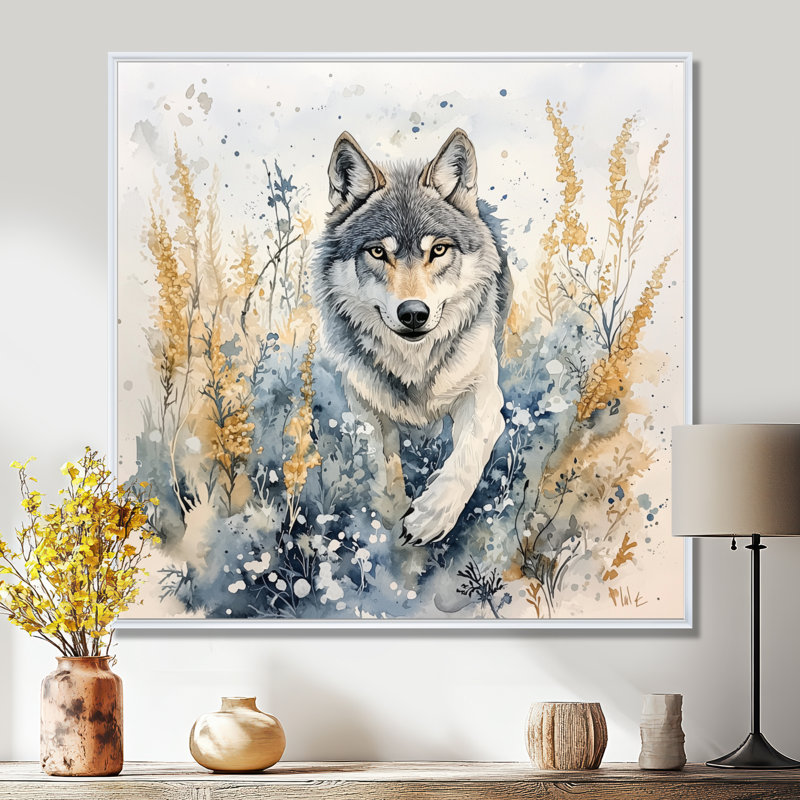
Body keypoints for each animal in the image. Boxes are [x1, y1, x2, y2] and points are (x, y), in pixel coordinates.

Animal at [313, 128, 511, 546]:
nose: (414, 314)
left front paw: (430, 516)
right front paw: (388, 515)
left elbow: (465, 456)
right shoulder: (364, 406)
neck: (413, 362)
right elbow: (381, 464)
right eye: (377, 252)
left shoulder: (484, 398)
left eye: (438, 250)